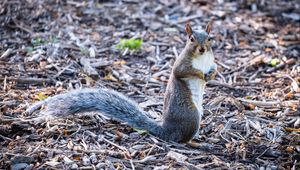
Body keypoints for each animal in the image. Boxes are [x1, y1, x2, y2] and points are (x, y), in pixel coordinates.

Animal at [25, 21, 217, 143]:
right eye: (191, 39)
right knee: (180, 140)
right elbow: (182, 72)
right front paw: (201, 74)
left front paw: (211, 74)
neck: (201, 58)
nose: (202, 48)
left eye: (210, 38)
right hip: (191, 116)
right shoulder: (181, 64)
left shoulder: (211, 60)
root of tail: (166, 130)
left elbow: (214, 68)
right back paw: (194, 143)